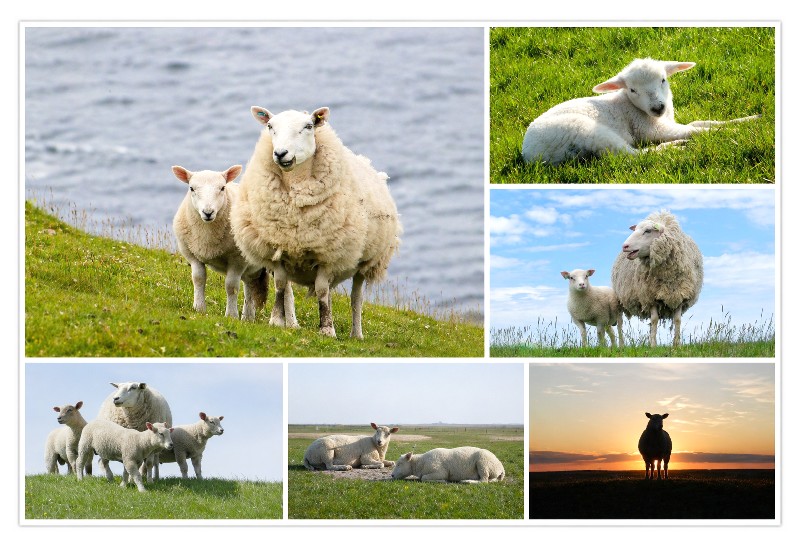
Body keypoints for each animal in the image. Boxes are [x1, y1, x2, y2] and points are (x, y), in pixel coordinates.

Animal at [171, 164, 296, 324]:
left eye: (222, 188)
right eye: (191, 188)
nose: (208, 212)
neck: (207, 236)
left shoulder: (237, 260)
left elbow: (231, 286)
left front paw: (231, 315)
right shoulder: (192, 256)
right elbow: (198, 279)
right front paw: (199, 308)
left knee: (286, 289)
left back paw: (290, 323)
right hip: (252, 266)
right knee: (250, 284)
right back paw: (248, 317)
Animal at [231, 106, 402, 339]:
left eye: (308, 126)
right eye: (270, 126)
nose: (280, 153)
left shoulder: (328, 255)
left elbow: (321, 290)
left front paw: (327, 329)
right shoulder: (278, 249)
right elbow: (281, 285)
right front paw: (277, 320)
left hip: (364, 261)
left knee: (355, 298)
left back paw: (356, 334)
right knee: (312, 291)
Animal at [522, 57, 759, 165]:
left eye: (663, 79)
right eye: (632, 90)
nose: (658, 107)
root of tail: (529, 153)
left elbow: (702, 123)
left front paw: (749, 119)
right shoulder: (649, 129)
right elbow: (694, 130)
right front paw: (733, 133)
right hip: (587, 131)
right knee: (632, 155)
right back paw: (673, 148)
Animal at [611, 210, 703, 347]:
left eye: (648, 231)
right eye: (635, 230)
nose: (625, 246)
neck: (668, 275)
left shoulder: (680, 295)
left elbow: (677, 320)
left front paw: (676, 345)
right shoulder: (650, 297)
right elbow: (654, 320)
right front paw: (653, 345)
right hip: (619, 301)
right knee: (620, 323)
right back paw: (622, 346)